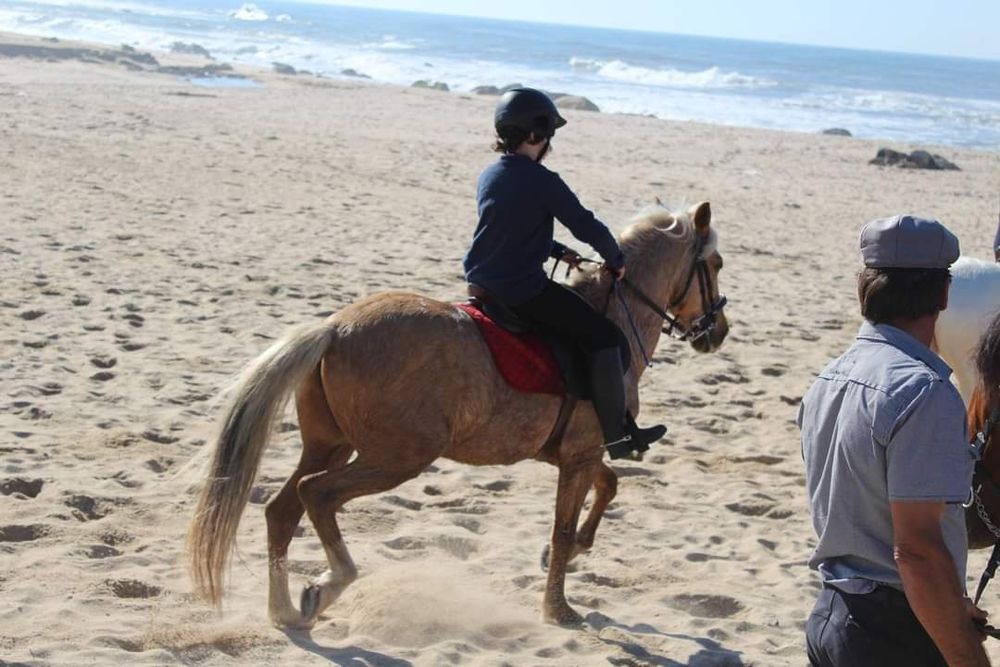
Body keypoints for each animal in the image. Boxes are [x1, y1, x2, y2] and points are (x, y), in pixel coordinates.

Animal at [186, 201, 729, 629]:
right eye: (716, 264)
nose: (717, 331)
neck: (612, 317)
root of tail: (335, 329)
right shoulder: (580, 454)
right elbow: (565, 522)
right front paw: (559, 609)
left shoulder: (580, 453)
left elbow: (608, 487)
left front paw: (572, 551)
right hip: (397, 458)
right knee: (315, 494)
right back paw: (332, 583)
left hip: (331, 445)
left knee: (282, 509)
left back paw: (284, 612)